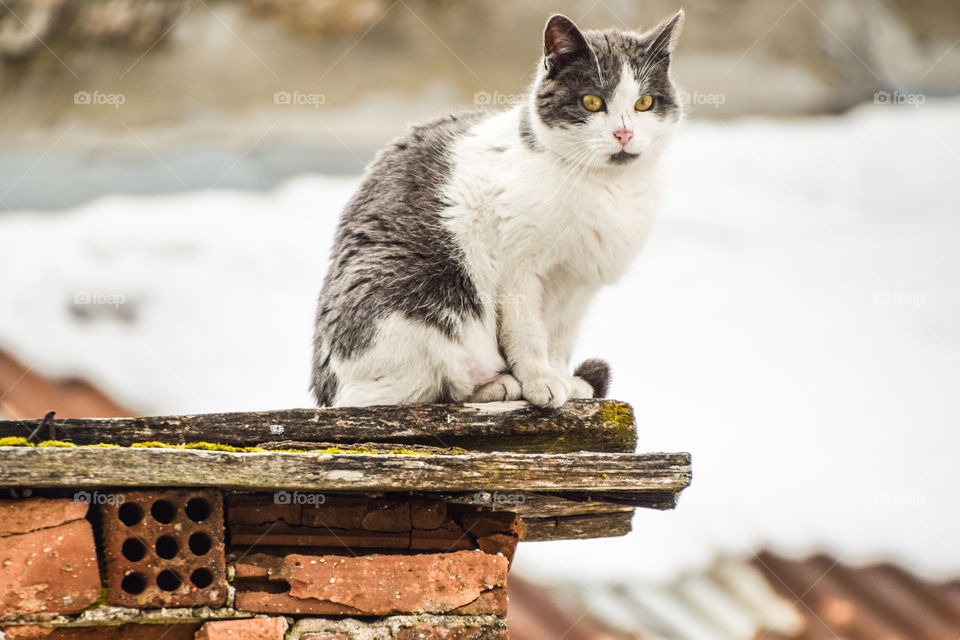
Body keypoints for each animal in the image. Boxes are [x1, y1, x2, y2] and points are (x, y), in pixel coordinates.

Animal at [310, 10, 684, 408]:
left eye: (644, 104)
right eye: (592, 102)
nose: (623, 134)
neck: (608, 187)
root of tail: (325, 388)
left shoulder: (577, 286)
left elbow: (559, 343)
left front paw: (563, 381)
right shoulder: (518, 272)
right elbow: (528, 337)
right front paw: (541, 382)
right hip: (421, 303)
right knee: (420, 389)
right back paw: (500, 386)